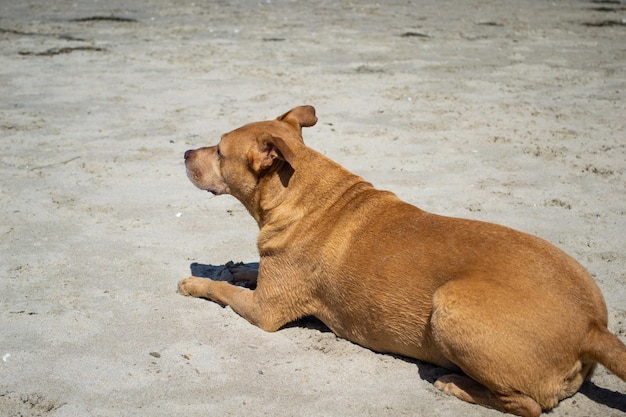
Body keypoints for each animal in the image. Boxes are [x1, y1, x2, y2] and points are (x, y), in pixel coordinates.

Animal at [177, 105, 624, 416]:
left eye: (219, 151)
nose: (183, 151)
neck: (302, 194)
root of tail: (592, 327)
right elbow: (246, 272)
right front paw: (236, 266)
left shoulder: (265, 311)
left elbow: (220, 289)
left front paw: (194, 283)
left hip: (451, 306)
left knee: (528, 405)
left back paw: (455, 384)